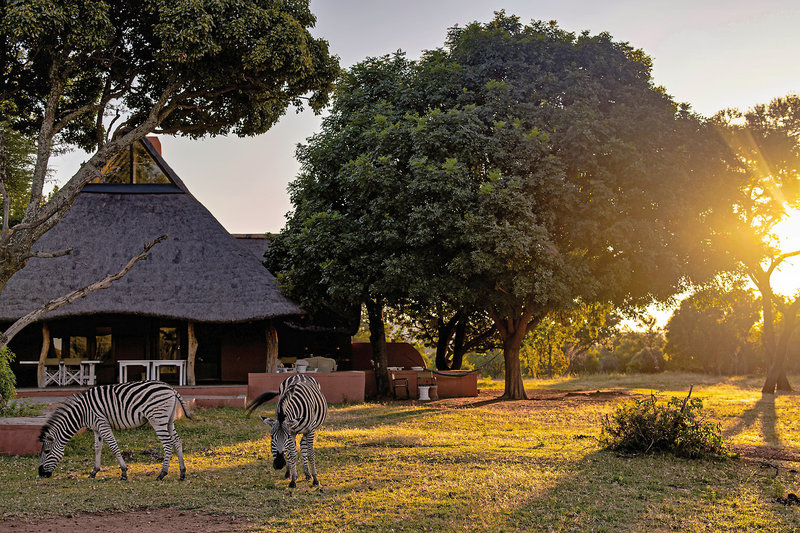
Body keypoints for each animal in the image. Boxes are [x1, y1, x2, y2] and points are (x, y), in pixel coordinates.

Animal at [38, 380, 192, 481]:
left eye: (47, 451)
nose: (40, 473)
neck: (82, 413)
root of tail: (170, 388)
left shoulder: (102, 423)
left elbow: (113, 446)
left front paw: (123, 472)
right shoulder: (96, 429)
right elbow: (97, 448)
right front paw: (94, 472)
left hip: (157, 419)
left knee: (167, 444)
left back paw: (162, 473)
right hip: (169, 420)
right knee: (177, 441)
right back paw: (182, 473)